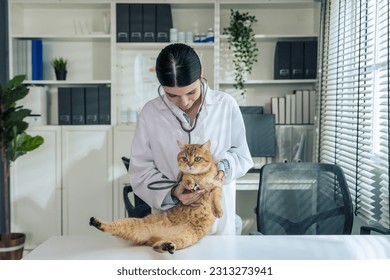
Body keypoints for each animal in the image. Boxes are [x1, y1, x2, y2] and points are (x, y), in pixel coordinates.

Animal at [89, 140, 222, 254]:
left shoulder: (217, 185)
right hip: (133, 223)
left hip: (186, 237)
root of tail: (157, 236)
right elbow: (186, 177)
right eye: (184, 158)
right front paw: (190, 182)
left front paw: (218, 211)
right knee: (115, 226)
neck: (200, 176)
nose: (190, 165)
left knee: (163, 245)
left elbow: (215, 198)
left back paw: (166, 245)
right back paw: (97, 222)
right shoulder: (181, 179)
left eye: (197, 158)